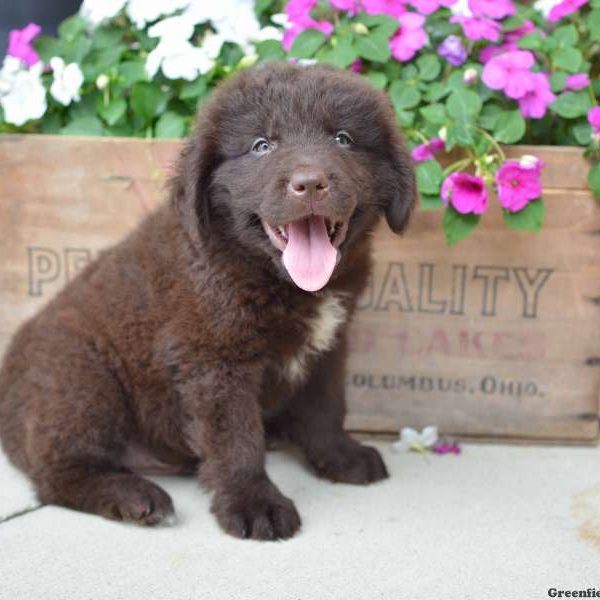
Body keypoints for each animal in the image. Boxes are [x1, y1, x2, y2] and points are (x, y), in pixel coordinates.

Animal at [0, 63, 412, 540]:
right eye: (261, 146)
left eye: (343, 138)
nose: (309, 183)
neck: (281, 281)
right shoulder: (214, 359)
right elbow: (236, 439)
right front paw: (254, 503)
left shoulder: (329, 345)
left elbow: (326, 406)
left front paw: (340, 456)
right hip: (78, 377)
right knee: (56, 473)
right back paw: (135, 497)